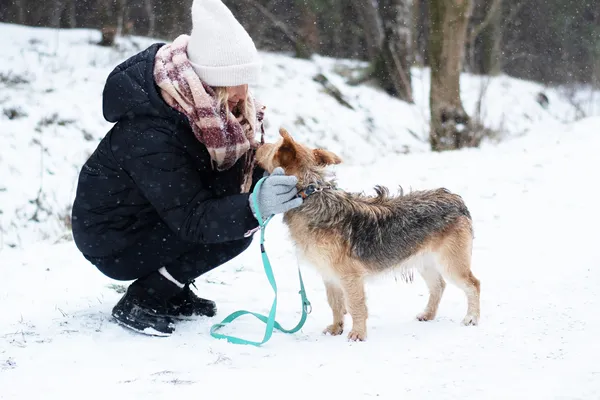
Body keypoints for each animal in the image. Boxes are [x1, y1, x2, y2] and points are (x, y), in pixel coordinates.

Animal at [255, 127, 480, 340]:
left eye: (272, 146)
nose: (257, 144)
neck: (310, 193)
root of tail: (456, 200)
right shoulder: (329, 275)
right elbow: (335, 304)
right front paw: (336, 328)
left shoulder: (349, 276)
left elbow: (355, 306)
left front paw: (358, 334)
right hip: (425, 262)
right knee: (438, 286)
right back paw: (428, 314)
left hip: (451, 263)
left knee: (473, 284)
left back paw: (471, 317)